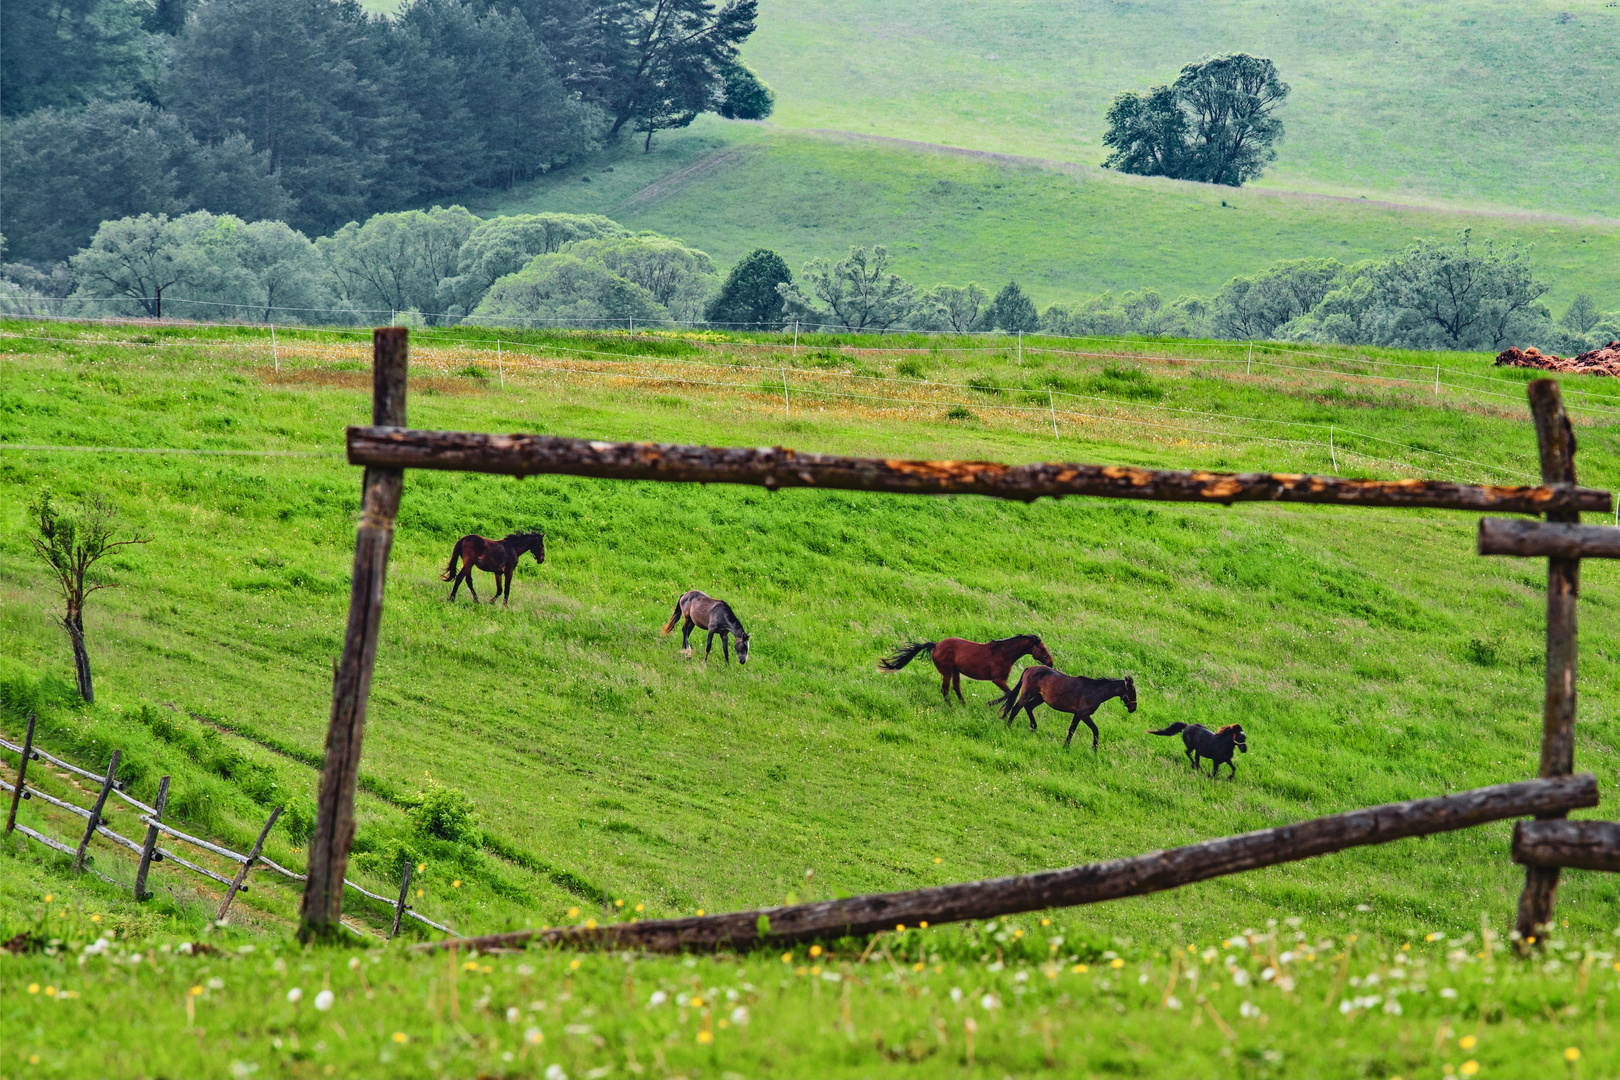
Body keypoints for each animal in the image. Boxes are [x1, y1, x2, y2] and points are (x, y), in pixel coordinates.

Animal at [881, 637, 1056, 705]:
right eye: (1042, 649)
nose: (1050, 662)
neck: (1004, 653)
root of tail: (936, 645)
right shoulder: (997, 679)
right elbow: (1008, 693)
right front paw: (989, 704)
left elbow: (1009, 693)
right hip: (947, 672)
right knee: (945, 690)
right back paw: (951, 706)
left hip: (955, 672)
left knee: (956, 688)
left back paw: (963, 705)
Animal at [984, 667, 1140, 751]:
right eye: (1132, 692)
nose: (1133, 708)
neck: (1095, 691)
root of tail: (1030, 668)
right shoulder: (1084, 714)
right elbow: (1095, 730)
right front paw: (1094, 748)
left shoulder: (1077, 714)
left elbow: (1071, 730)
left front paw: (1066, 746)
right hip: (1027, 694)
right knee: (1016, 708)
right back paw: (1008, 726)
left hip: (1040, 698)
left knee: (1028, 707)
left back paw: (1033, 727)